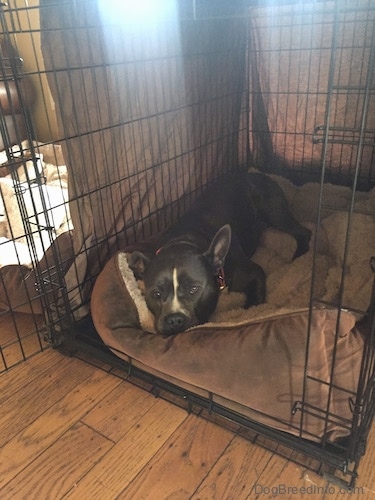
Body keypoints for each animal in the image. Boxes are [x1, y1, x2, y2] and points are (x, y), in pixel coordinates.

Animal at [129, 172, 312, 336]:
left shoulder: (255, 272)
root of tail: (254, 173)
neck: (183, 240)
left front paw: (248, 310)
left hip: (274, 212)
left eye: (194, 289)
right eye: (156, 294)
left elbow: (255, 304)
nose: (174, 319)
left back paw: (299, 256)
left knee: (303, 232)